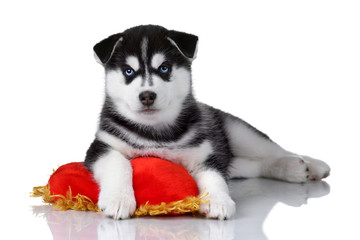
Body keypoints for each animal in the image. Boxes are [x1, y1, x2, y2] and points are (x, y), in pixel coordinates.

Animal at [83, 25, 330, 220]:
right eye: (128, 71)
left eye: (164, 68)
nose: (147, 96)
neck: (156, 131)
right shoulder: (102, 146)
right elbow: (118, 164)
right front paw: (119, 199)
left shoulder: (205, 151)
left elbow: (214, 176)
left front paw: (218, 201)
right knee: (255, 165)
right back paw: (296, 169)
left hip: (239, 132)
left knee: (273, 150)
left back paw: (309, 165)